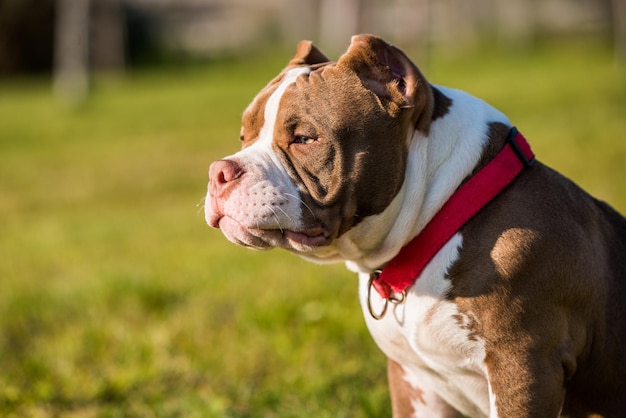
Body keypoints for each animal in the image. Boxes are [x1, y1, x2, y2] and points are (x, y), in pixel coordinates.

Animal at [204, 34, 624, 416]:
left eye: (305, 138)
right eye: (244, 136)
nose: (219, 171)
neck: (443, 215)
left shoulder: (524, 370)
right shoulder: (414, 381)